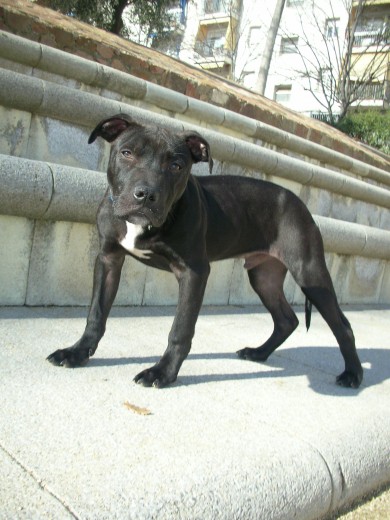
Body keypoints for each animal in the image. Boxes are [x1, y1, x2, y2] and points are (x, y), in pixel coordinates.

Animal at [47, 115, 364, 390]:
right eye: (127, 153)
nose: (146, 195)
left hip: (309, 271)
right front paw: (76, 352)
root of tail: (300, 203)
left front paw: (162, 373)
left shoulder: (194, 272)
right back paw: (259, 353)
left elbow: (181, 329)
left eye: (176, 165)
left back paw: (352, 374)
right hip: (264, 275)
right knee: (287, 319)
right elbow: (96, 313)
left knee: (343, 325)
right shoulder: (109, 259)